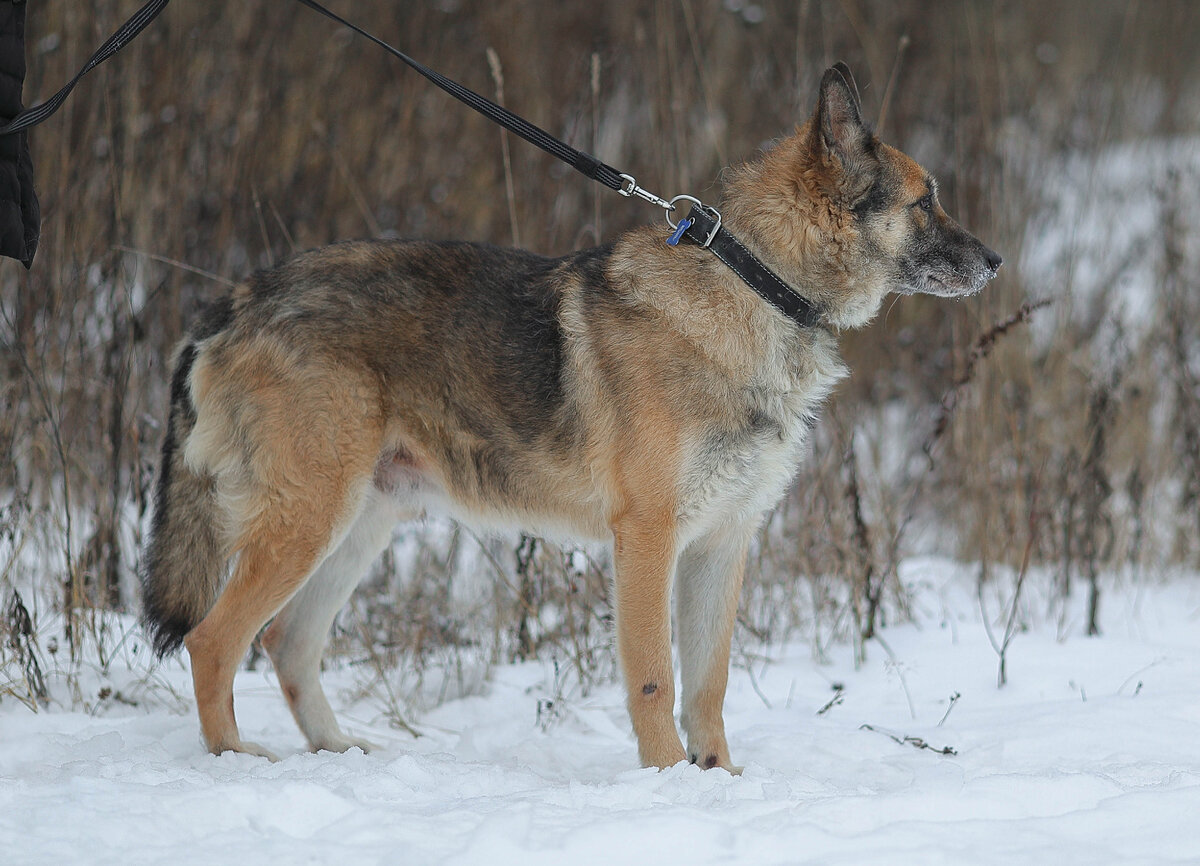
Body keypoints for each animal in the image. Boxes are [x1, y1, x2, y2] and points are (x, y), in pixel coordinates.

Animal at [140, 65, 1003, 767]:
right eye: (926, 202)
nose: (997, 261)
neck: (756, 287)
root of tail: (233, 301)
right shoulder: (648, 538)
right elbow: (656, 682)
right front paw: (669, 784)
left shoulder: (723, 542)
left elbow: (709, 688)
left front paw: (719, 783)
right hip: (309, 522)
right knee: (214, 641)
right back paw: (237, 763)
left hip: (360, 525)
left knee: (286, 645)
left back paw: (341, 756)